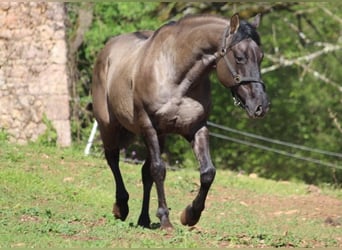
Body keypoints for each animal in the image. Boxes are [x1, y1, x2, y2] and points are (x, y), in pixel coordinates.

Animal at [91, 13, 270, 229]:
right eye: (239, 57)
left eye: (261, 57)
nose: (261, 105)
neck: (176, 77)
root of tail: (107, 50)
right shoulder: (148, 126)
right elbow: (159, 170)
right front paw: (166, 220)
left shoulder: (196, 129)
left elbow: (207, 172)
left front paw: (190, 215)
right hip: (108, 126)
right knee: (113, 160)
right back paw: (121, 207)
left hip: (159, 137)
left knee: (144, 173)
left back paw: (144, 219)